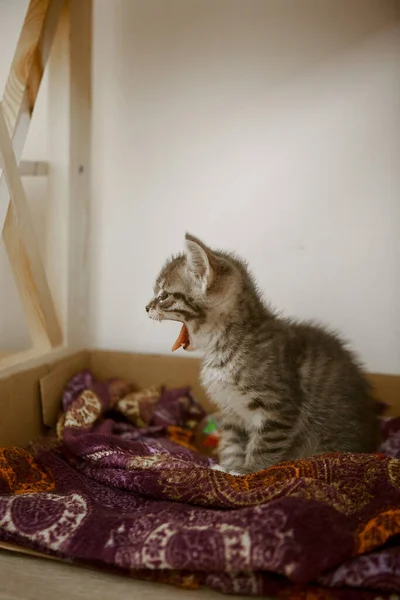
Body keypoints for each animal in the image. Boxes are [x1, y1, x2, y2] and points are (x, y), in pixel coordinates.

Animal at [146, 233, 378, 474]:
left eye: (163, 295)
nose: (146, 307)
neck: (224, 347)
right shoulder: (232, 410)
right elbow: (232, 439)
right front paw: (228, 467)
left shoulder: (279, 408)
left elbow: (264, 445)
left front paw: (248, 471)